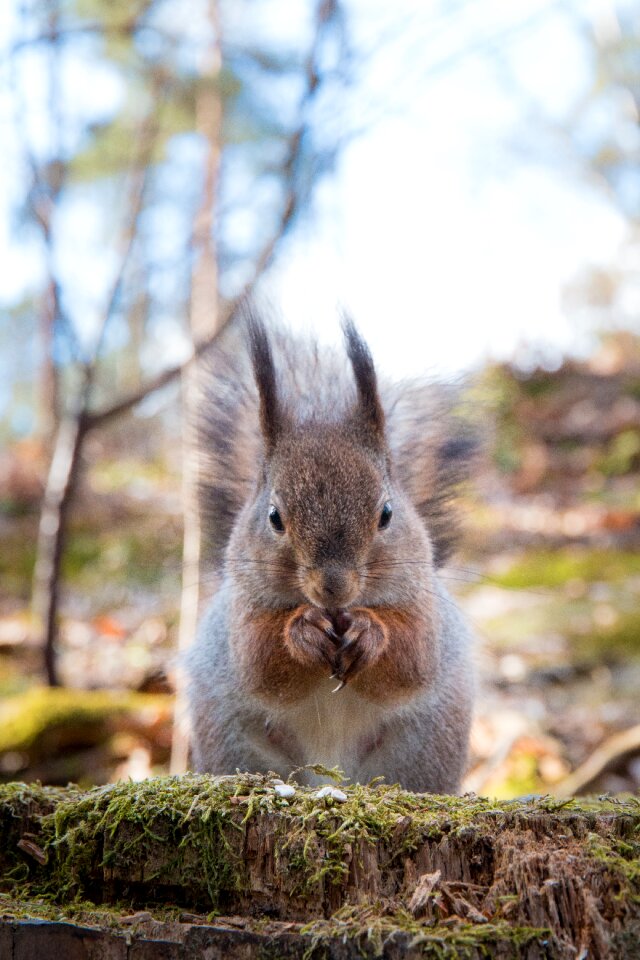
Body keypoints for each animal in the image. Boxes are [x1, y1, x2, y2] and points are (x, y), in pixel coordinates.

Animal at [185, 310, 476, 796]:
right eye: (274, 517)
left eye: (387, 513)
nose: (333, 588)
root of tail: (331, 776)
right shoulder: (240, 614)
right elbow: (260, 666)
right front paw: (303, 631)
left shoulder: (423, 605)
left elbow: (412, 660)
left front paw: (370, 631)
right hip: (231, 742)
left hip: (427, 746)